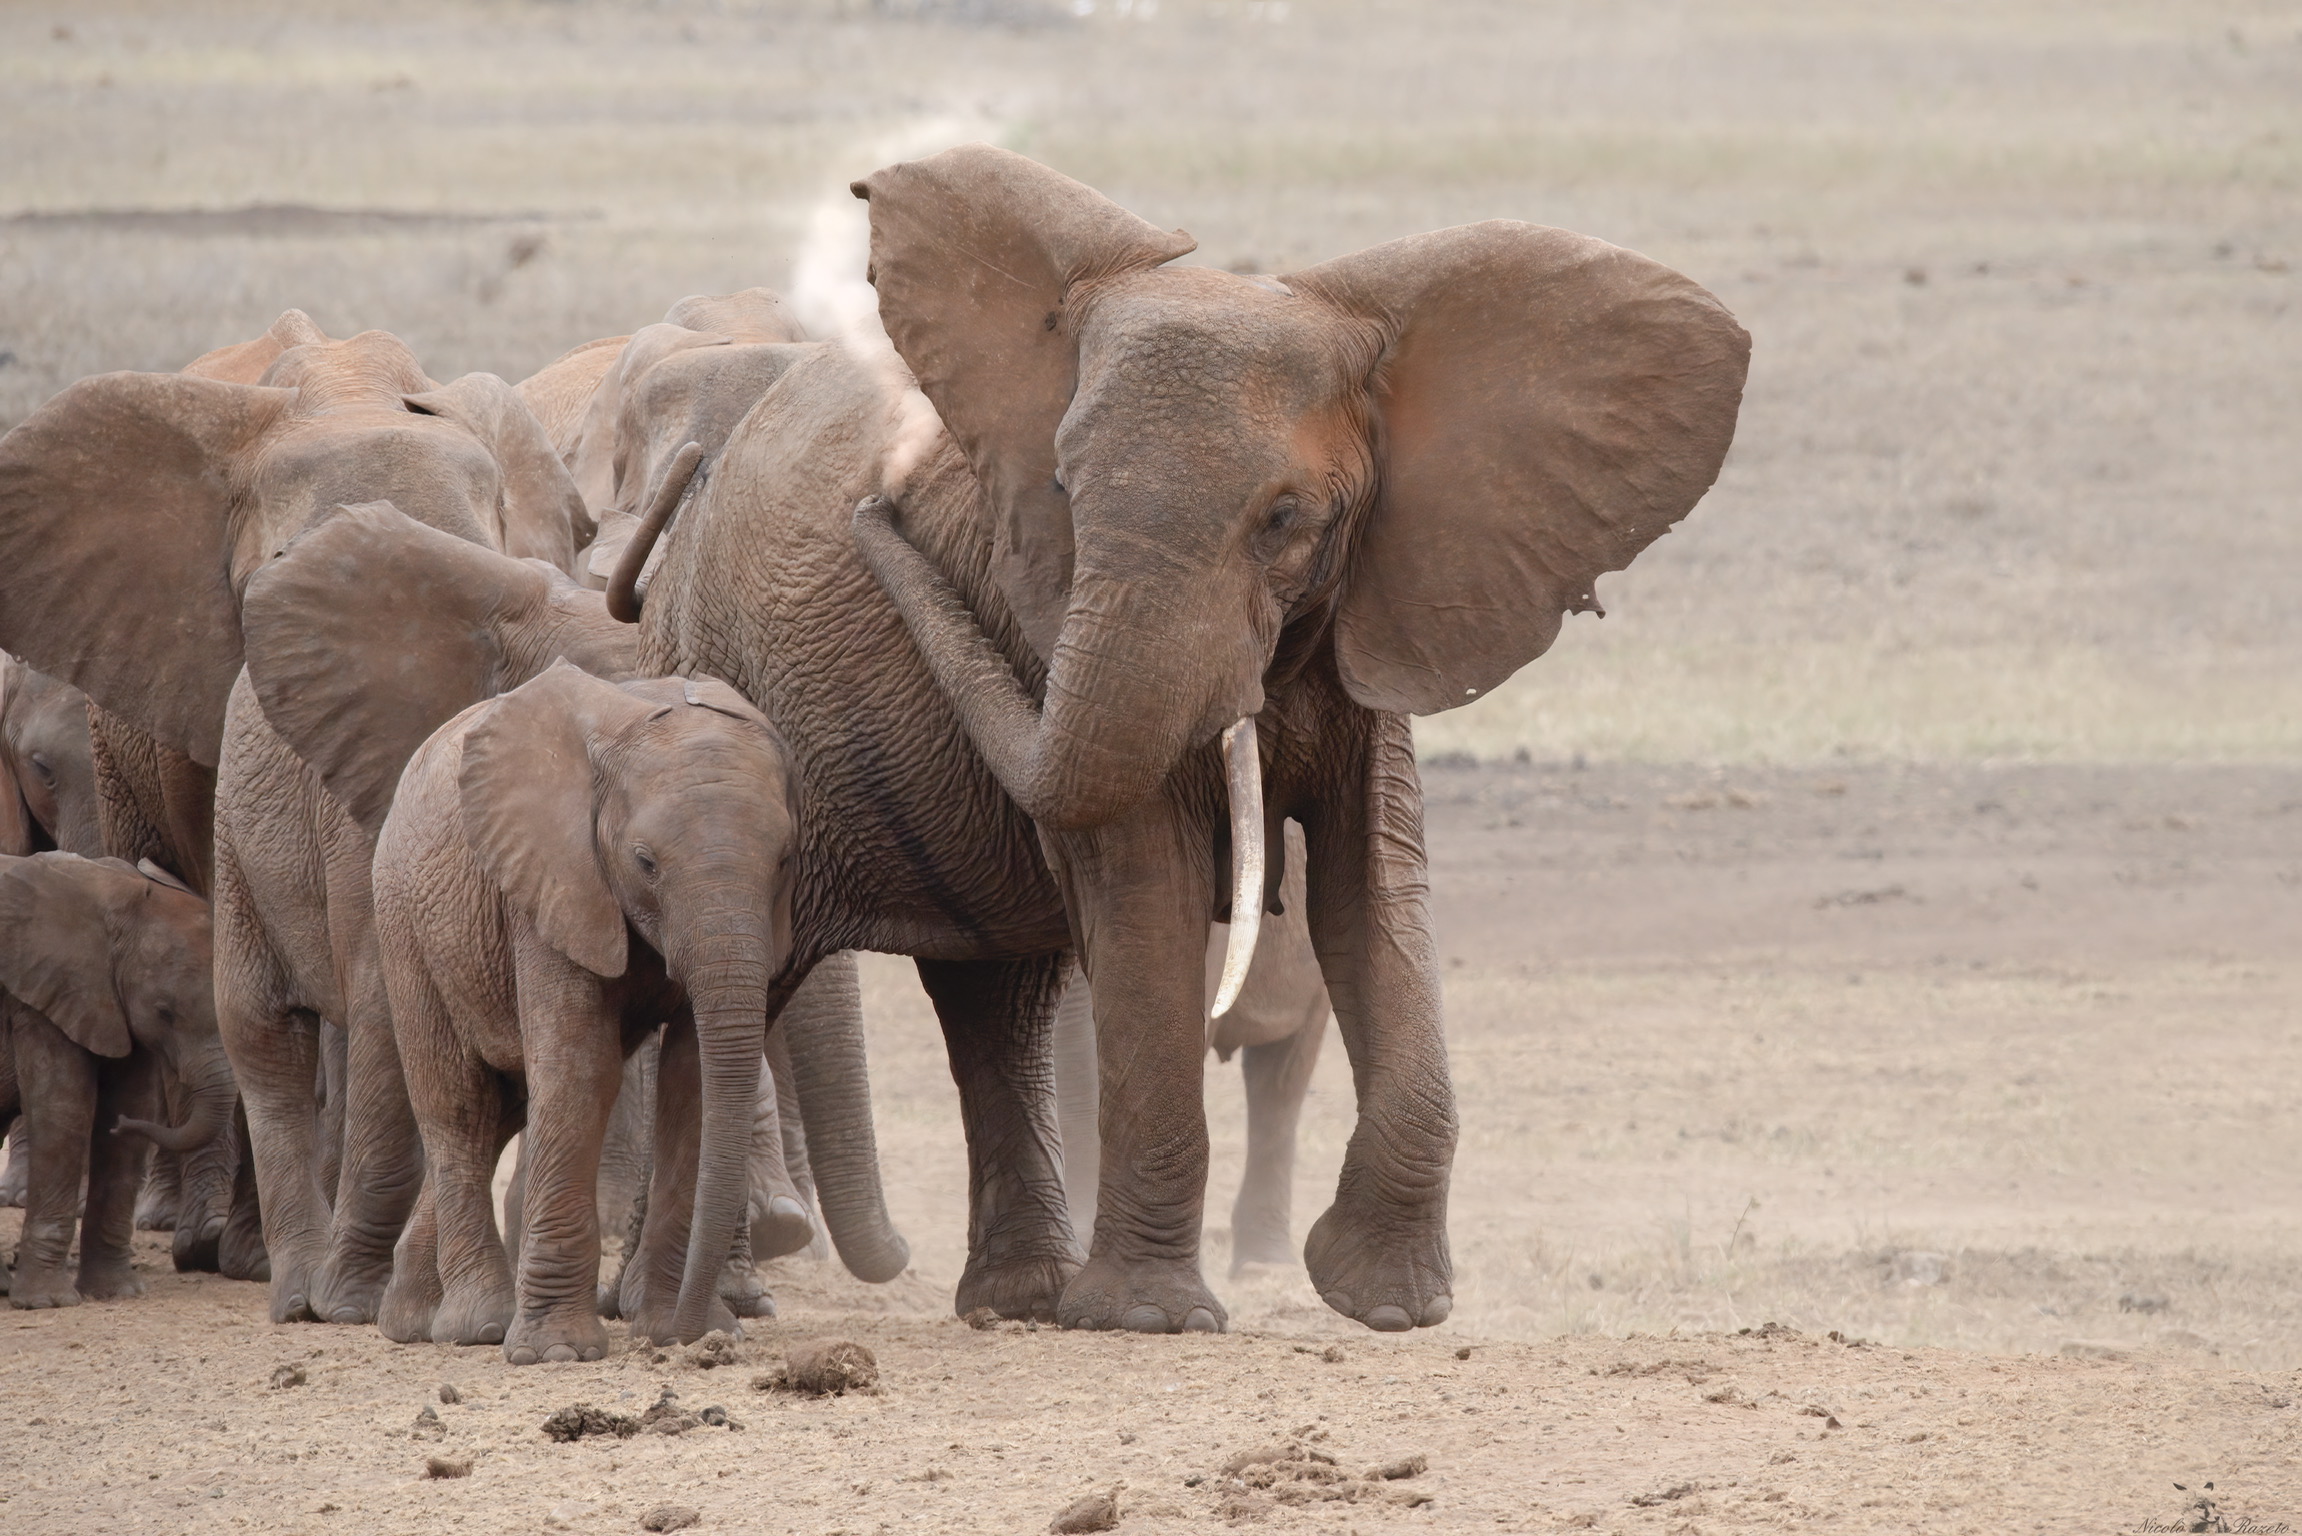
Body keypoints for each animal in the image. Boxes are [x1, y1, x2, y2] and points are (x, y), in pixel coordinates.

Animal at [0, 853, 238, 1305]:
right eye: (165, 1012)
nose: (122, 1125)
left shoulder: (114, 1003)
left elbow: (130, 1111)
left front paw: (117, 1293)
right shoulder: (42, 996)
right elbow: (64, 1112)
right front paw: (47, 1302)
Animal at [370, 661, 814, 1357]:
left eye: (785, 860)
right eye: (645, 862)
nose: (698, 1340)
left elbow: (691, 1082)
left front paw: (673, 1326)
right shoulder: (552, 878)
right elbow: (582, 1070)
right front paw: (557, 1352)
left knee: (505, 1106)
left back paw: (411, 1321)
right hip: (404, 925)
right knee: (460, 1107)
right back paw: (475, 1326)